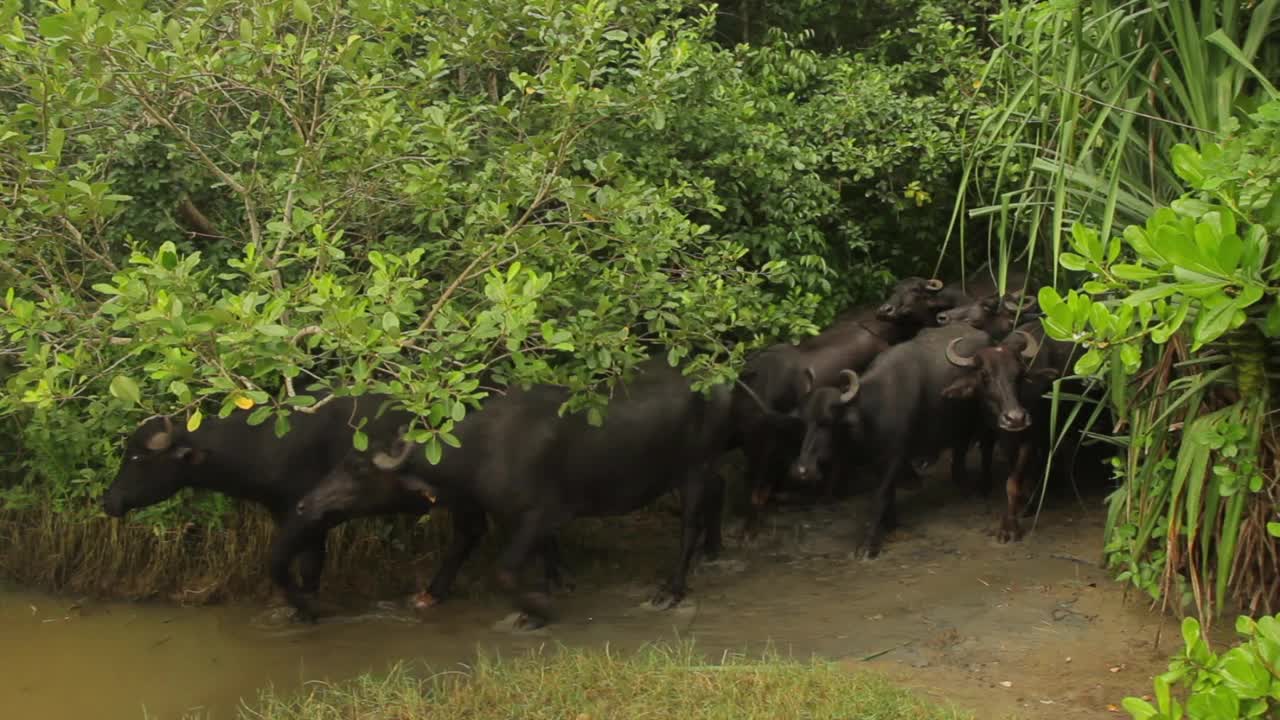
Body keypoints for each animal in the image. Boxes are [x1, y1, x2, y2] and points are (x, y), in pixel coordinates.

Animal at [300, 358, 737, 627]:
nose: (306, 504)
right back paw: (713, 552)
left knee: (690, 525)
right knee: (718, 489)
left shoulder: (537, 514)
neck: (483, 450)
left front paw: (536, 610)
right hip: (703, 470)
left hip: (693, 470)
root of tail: (718, 382)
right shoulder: (529, 519)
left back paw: (670, 590)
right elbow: (546, 552)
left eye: (358, 471)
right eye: (341, 462)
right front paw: (560, 583)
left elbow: (506, 571)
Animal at [783, 324, 1003, 556]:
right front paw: (891, 524)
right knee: (959, 458)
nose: (802, 470)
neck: (872, 411)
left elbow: (880, 496)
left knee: (985, 449)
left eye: (827, 421)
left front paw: (868, 544)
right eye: (805, 422)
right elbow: (889, 496)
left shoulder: (895, 458)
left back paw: (981, 489)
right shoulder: (875, 460)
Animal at [942, 319, 1080, 538]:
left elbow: (1013, 483)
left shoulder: (1029, 437)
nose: (1015, 418)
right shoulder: (1000, 435)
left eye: (1020, 374)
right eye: (984, 375)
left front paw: (1011, 526)